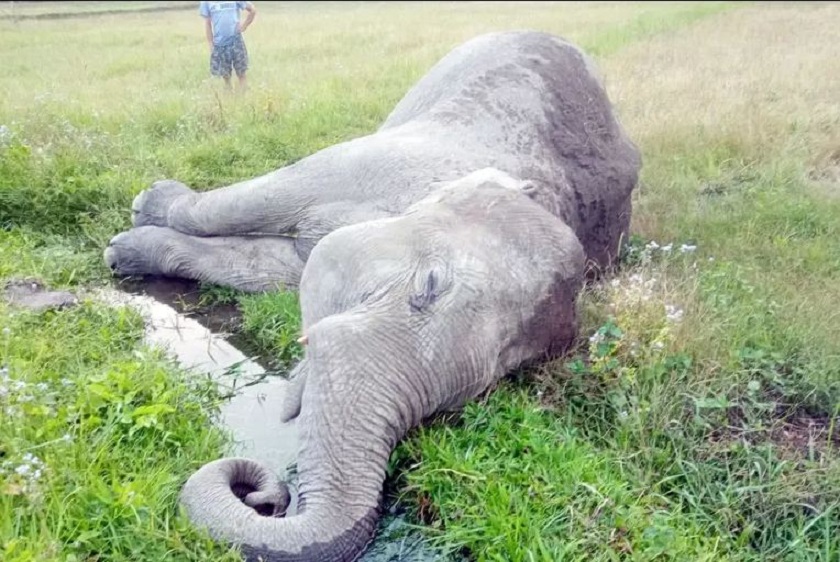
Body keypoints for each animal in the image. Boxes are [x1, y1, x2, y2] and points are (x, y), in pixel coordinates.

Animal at [101, 29, 640, 560]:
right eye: (429, 286)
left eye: (485, 385)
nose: (264, 496)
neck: (548, 192)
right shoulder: (386, 161)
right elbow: (262, 198)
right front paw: (142, 214)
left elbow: (275, 270)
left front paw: (128, 248)